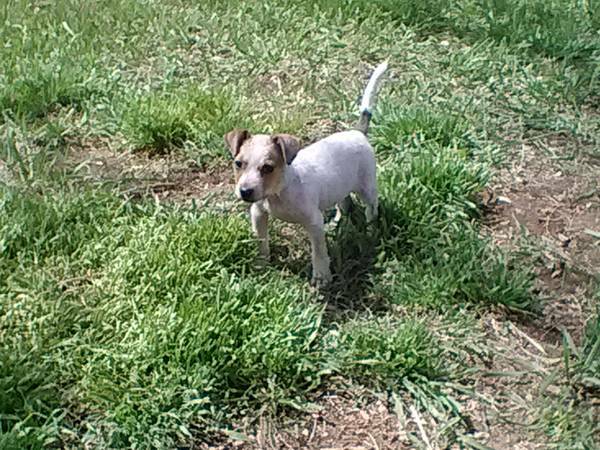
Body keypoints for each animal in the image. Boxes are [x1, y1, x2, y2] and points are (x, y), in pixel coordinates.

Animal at [225, 61, 390, 286]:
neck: (280, 191)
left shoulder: (313, 222)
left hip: (367, 187)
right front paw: (261, 264)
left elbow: (318, 252)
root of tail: (357, 132)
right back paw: (337, 221)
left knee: (371, 209)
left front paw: (321, 276)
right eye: (238, 163)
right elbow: (261, 240)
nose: (245, 192)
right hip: (339, 184)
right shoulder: (258, 213)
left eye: (268, 167)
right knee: (344, 202)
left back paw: (372, 231)